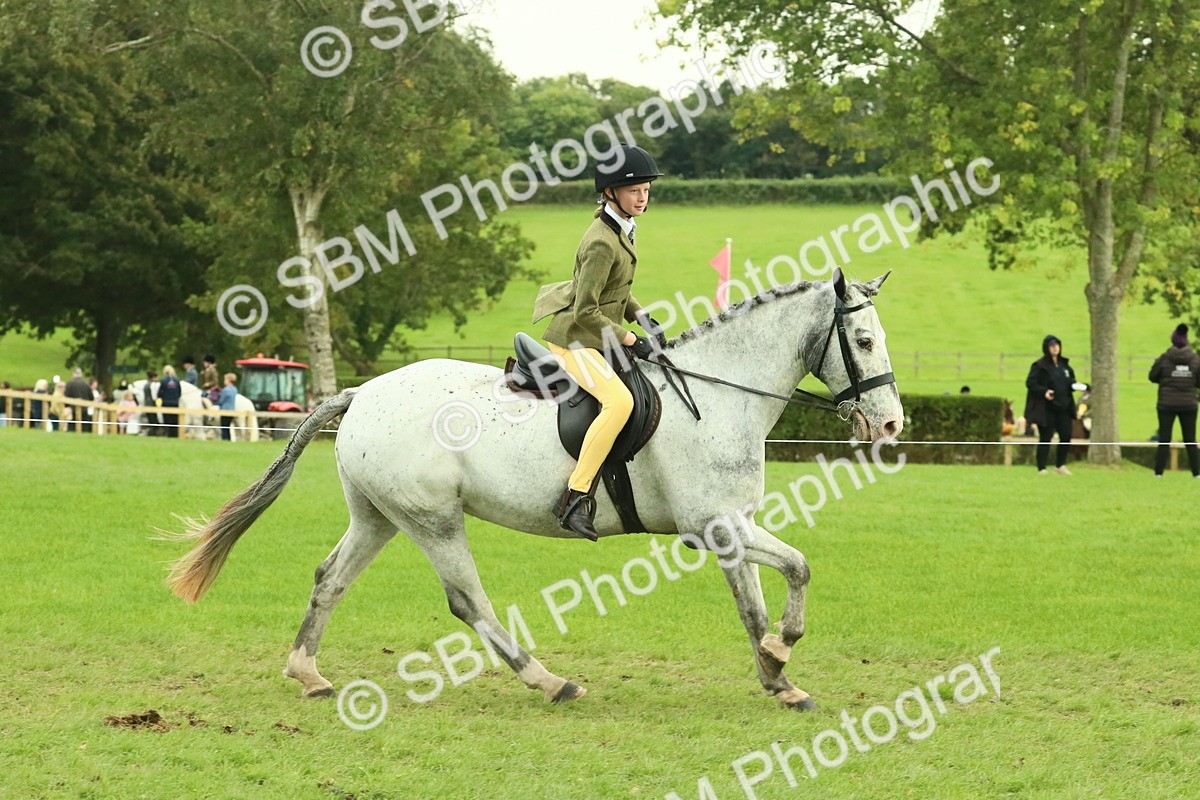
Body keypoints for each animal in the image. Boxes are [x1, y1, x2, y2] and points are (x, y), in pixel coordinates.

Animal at [165, 269, 904, 710]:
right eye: (864, 340)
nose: (892, 424)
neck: (721, 395)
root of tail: (361, 391)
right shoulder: (715, 525)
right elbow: (783, 581)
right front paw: (782, 657)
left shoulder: (731, 526)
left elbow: (768, 592)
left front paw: (779, 672)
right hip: (433, 518)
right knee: (468, 601)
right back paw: (548, 679)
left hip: (378, 516)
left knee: (330, 579)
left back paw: (308, 673)